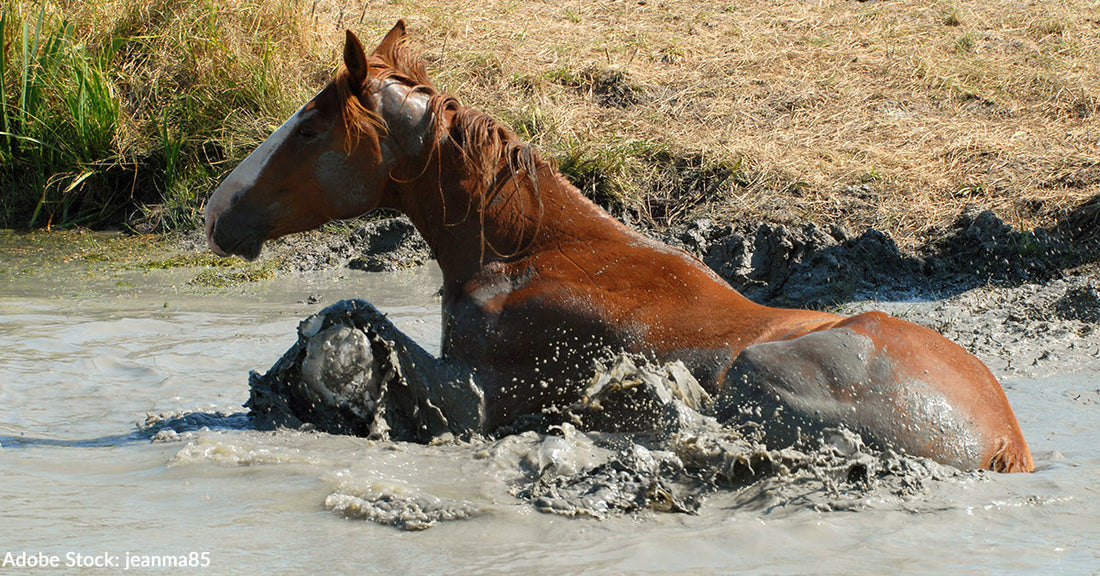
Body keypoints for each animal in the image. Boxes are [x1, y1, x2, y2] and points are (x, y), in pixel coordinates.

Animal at [204, 22, 1033, 472]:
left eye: (311, 128)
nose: (215, 213)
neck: (528, 257)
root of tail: (1003, 443)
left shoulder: (474, 399)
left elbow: (355, 310)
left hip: (756, 374)